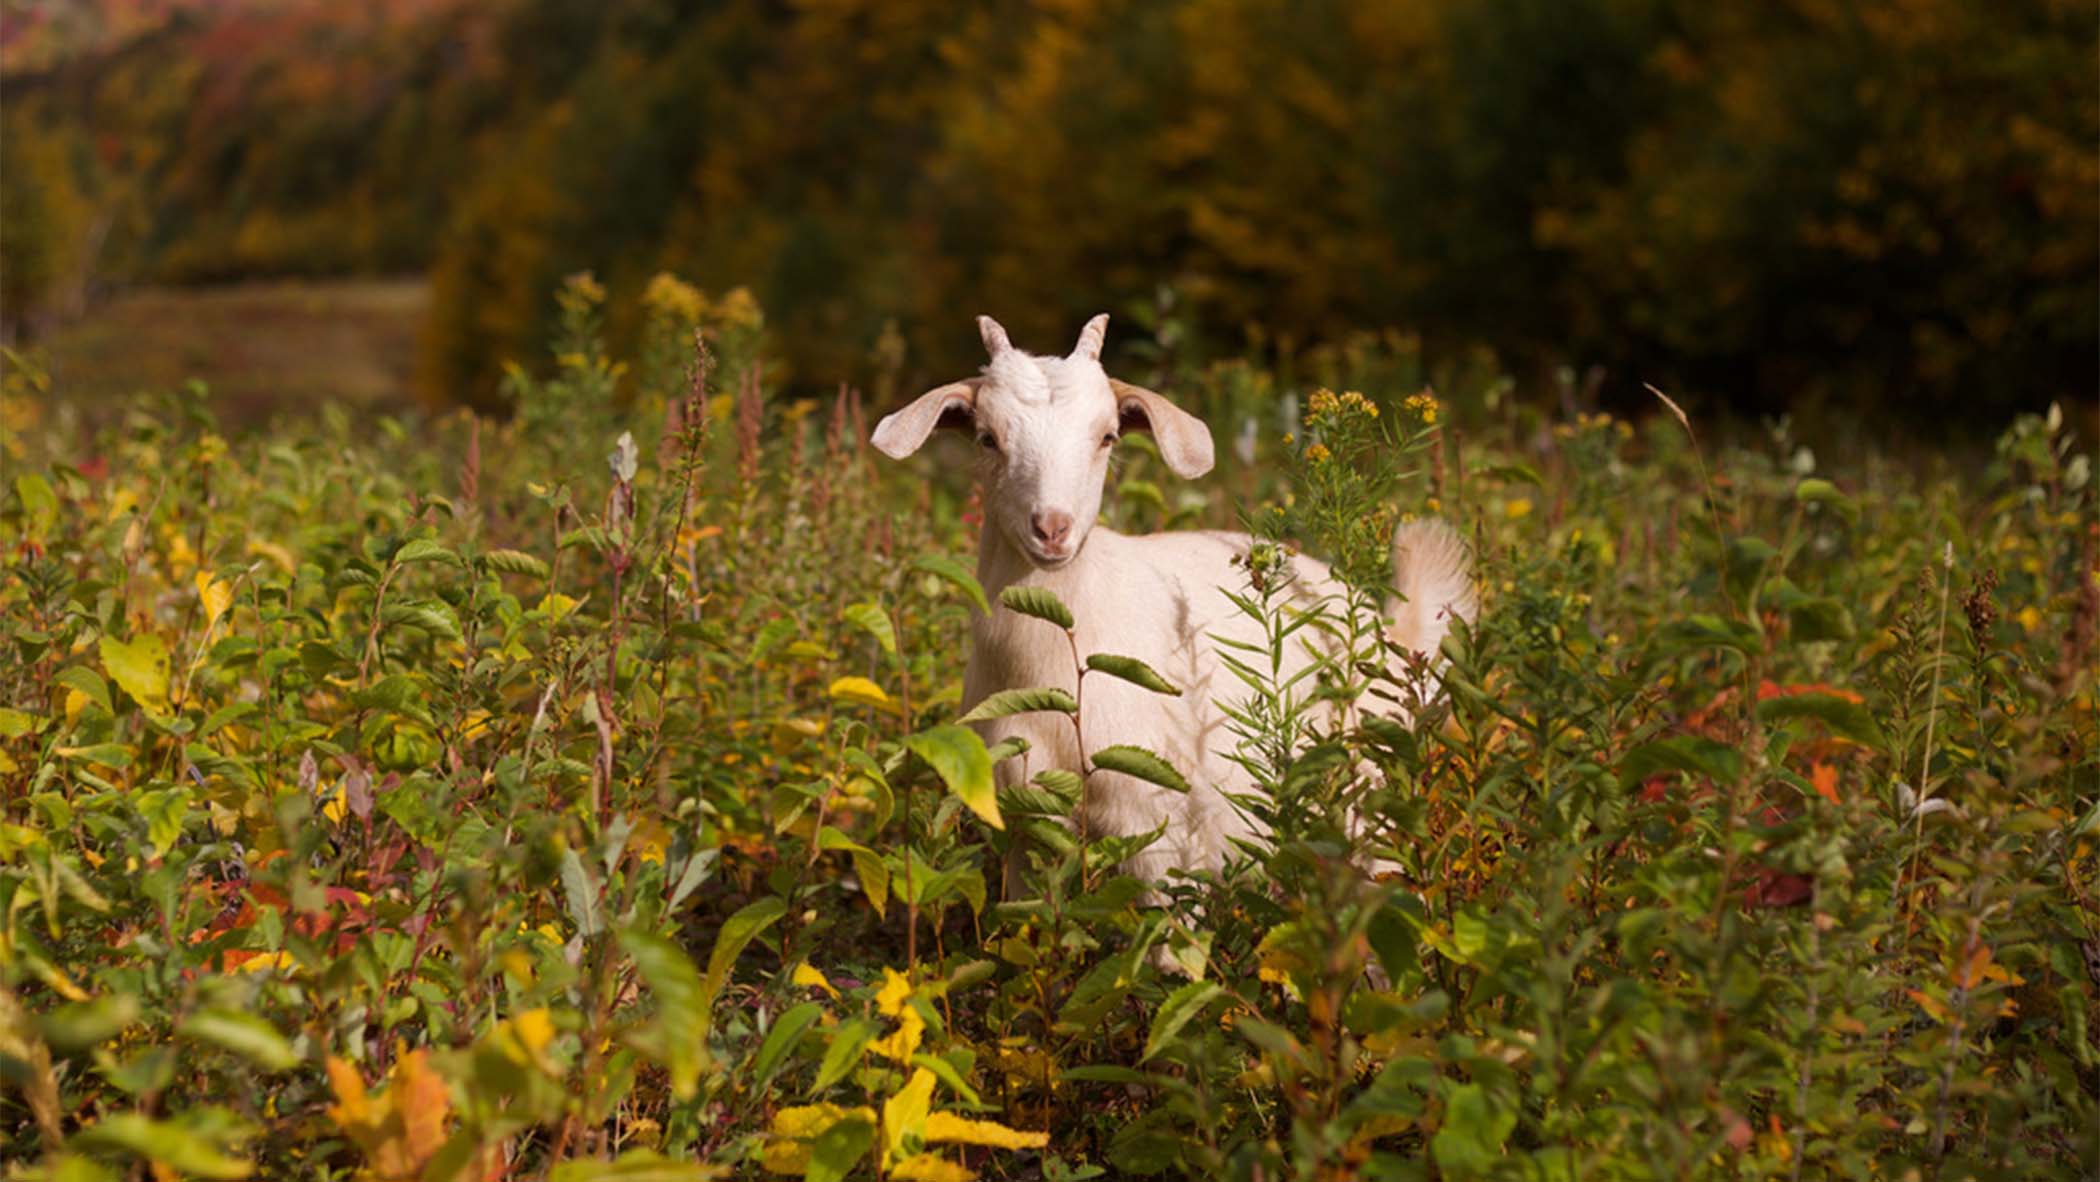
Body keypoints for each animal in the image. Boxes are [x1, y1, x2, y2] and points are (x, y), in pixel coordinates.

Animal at [871, 313, 1477, 893]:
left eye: (1108, 436)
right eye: (987, 437)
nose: (1052, 528)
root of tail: (1390, 630)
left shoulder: (1161, 825)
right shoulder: (1025, 820)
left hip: (1370, 798)